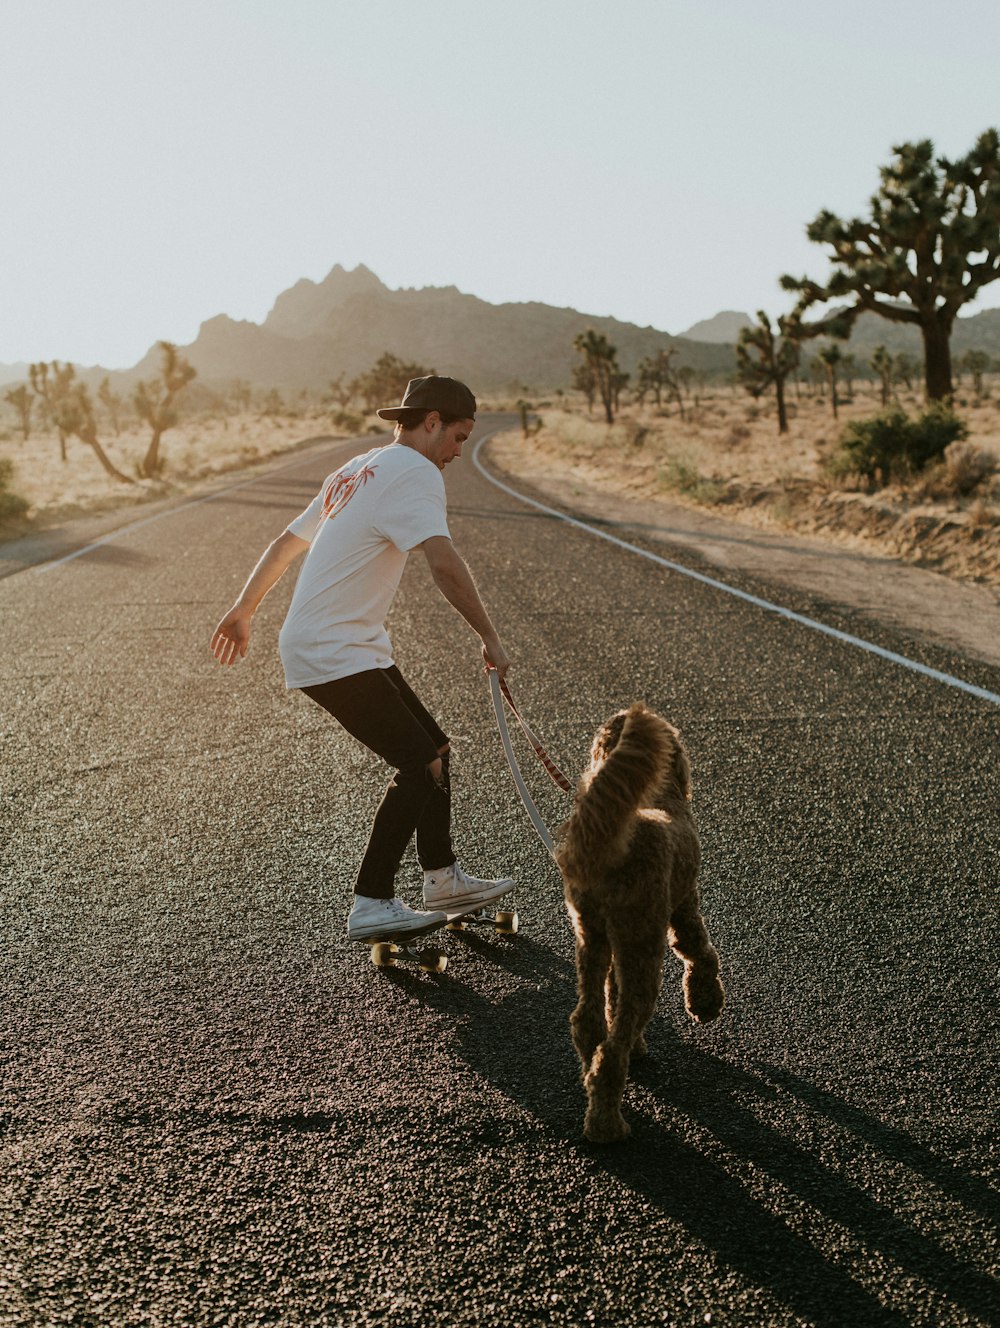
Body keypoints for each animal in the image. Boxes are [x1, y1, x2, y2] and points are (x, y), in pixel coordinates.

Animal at [557, 706, 722, 1142]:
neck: (659, 794)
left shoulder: (620, 942)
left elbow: (613, 995)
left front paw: (639, 1044)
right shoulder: (682, 907)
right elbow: (700, 953)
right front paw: (706, 1002)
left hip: (594, 936)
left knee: (589, 1021)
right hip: (644, 945)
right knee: (613, 1048)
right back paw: (607, 1125)